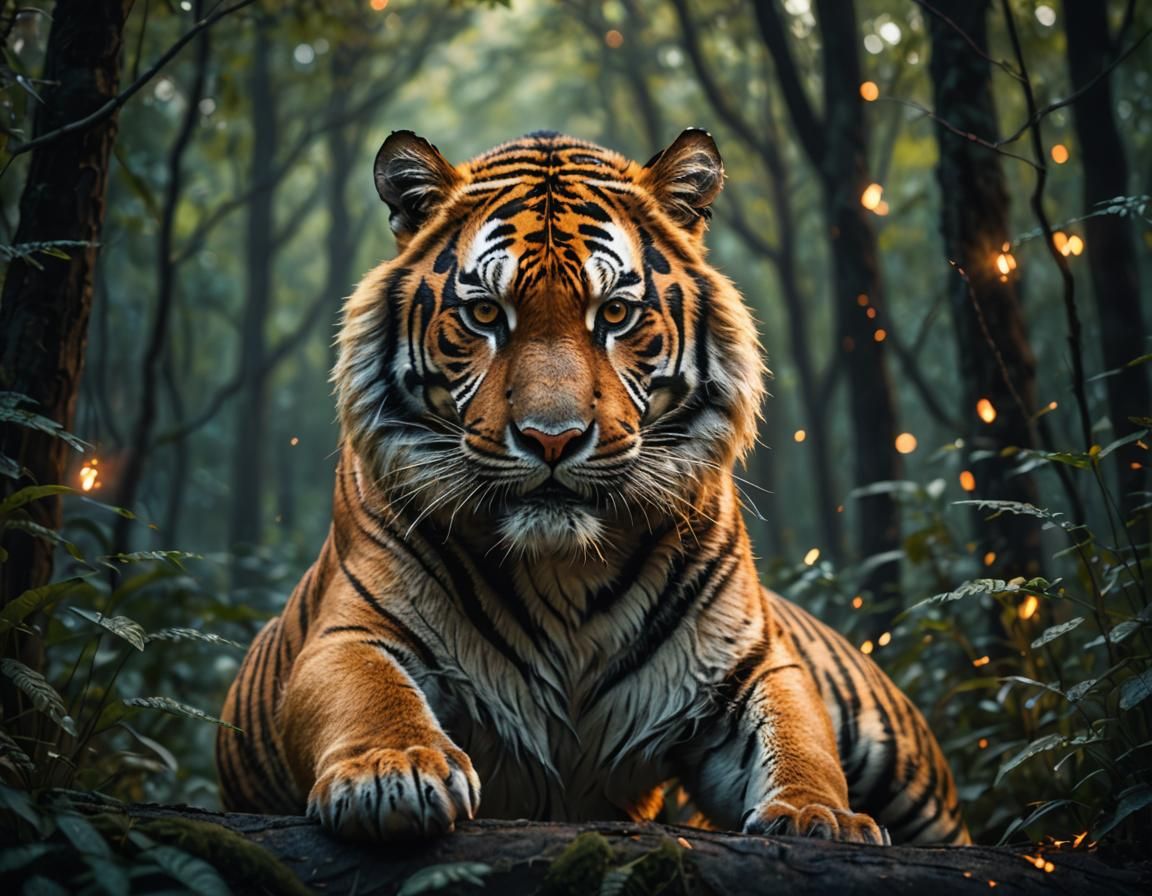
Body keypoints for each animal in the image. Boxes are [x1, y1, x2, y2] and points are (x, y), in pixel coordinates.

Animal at [216, 129, 969, 846]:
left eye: (613, 315)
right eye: (485, 315)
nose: (552, 438)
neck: (563, 568)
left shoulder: (751, 666)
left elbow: (799, 739)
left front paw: (821, 816)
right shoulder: (350, 632)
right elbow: (369, 694)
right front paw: (391, 771)